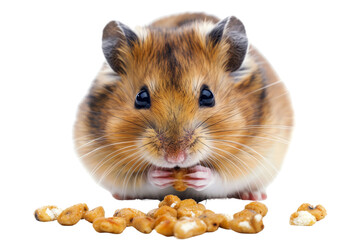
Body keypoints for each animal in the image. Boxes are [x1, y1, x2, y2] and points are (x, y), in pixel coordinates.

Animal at [72, 12, 292, 201]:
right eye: (141, 97)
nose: (174, 157)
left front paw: (199, 175)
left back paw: (254, 195)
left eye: (208, 96)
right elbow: (142, 178)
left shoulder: (251, 156)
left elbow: (220, 176)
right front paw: (158, 174)